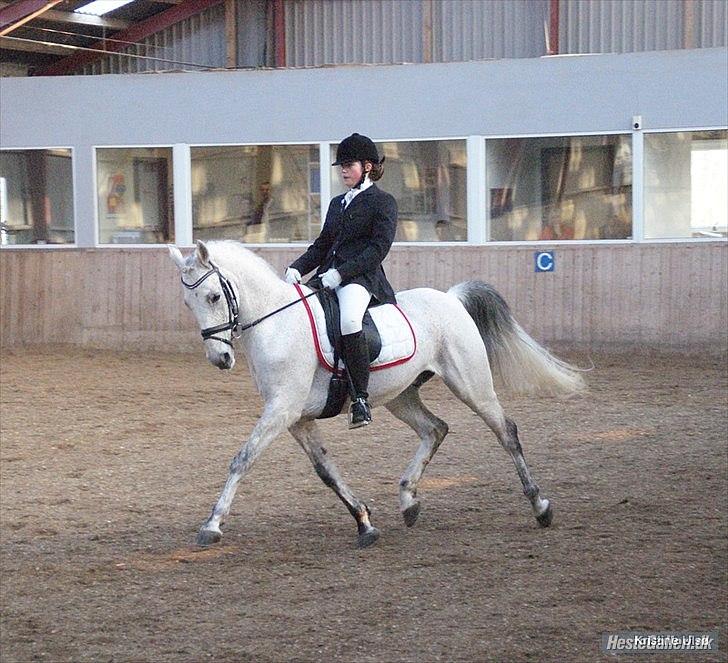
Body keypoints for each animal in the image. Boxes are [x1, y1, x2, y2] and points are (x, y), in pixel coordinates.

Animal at [168, 240, 585, 548]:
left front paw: (212, 524)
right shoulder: (296, 418)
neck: (278, 323)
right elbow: (326, 471)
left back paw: (541, 506)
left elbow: (242, 459)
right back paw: (409, 502)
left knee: (506, 431)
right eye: (188, 303)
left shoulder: (282, 409)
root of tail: (450, 298)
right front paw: (365, 522)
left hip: (472, 385)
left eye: (213, 297)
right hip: (401, 395)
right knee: (435, 429)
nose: (220, 359)